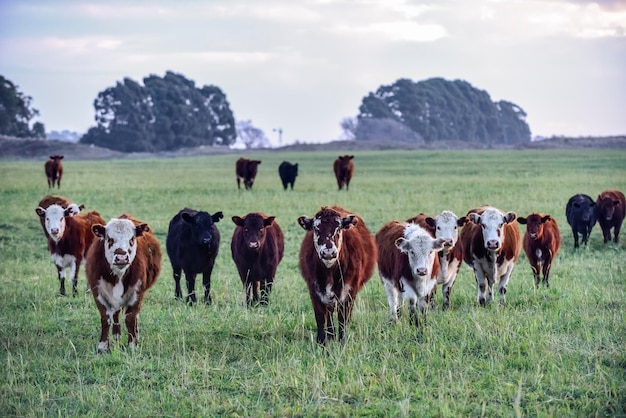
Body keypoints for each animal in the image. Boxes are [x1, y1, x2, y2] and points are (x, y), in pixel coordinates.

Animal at [86, 214, 162, 354]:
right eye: (109, 238)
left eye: (132, 239)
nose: (121, 258)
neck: (118, 275)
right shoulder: (98, 292)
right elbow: (106, 318)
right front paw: (102, 346)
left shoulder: (137, 293)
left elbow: (130, 318)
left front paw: (132, 345)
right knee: (115, 315)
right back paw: (116, 336)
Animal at [298, 206, 376, 346]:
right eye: (316, 228)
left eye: (339, 228)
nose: (328, 252)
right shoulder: (314, 289)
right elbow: (320, 316)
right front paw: (321, 341)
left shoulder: (350, 291)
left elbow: (343, 318)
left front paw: (342, 341)